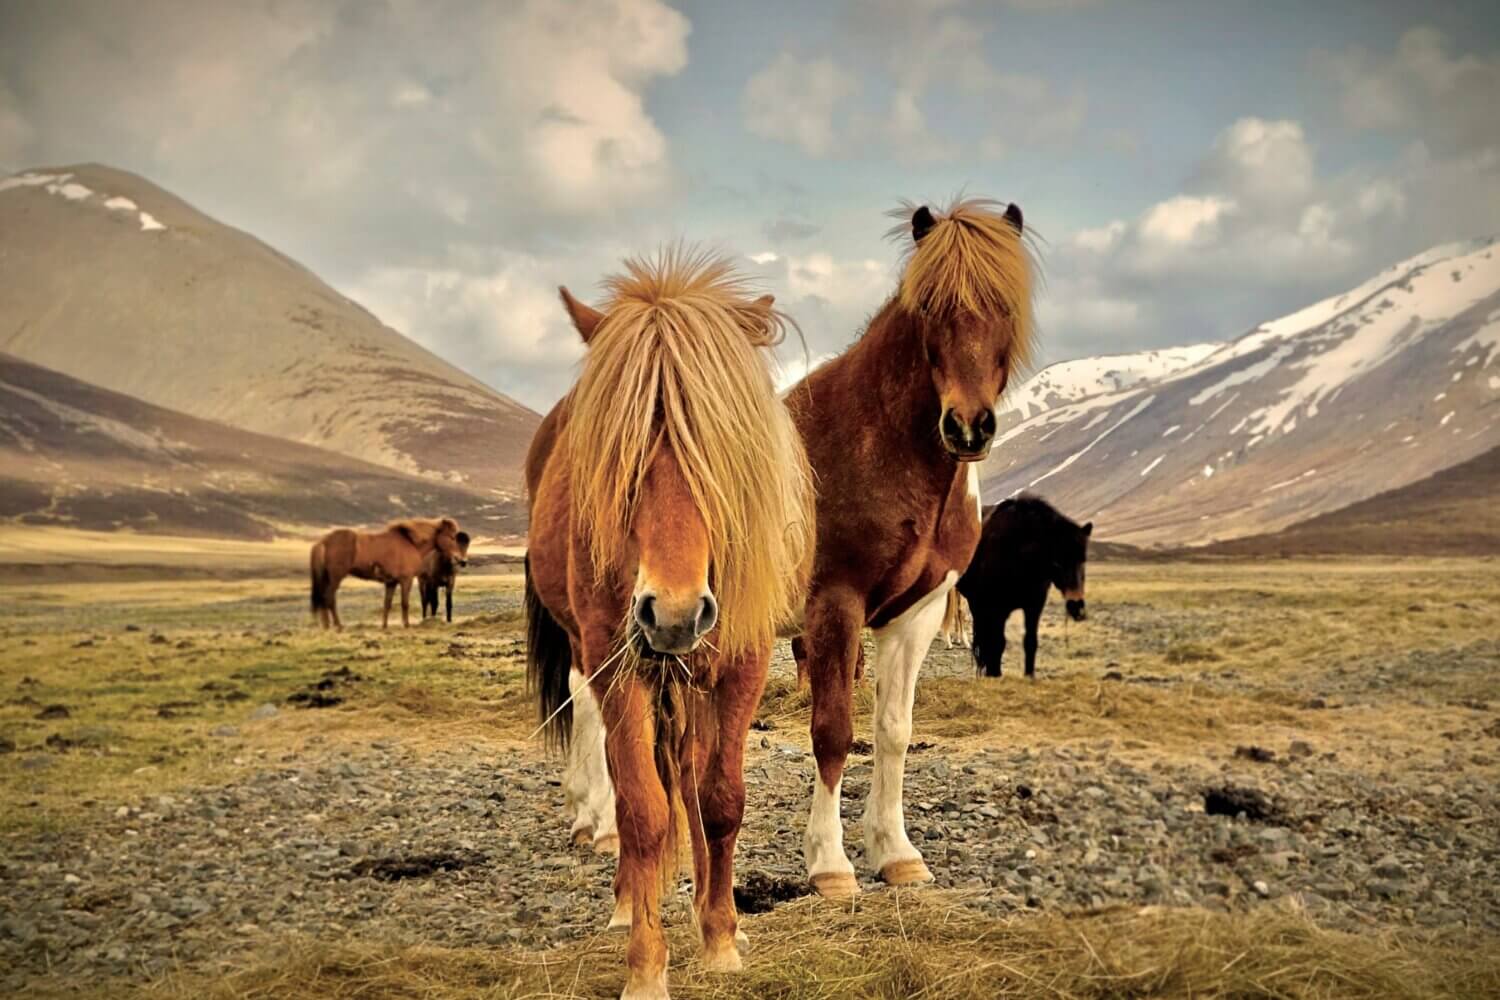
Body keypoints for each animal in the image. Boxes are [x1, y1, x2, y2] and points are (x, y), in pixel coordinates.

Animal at [306, 521, 465, 629]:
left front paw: (384, 626)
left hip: (327, 578)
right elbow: (404, 603)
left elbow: (387, 604)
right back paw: (337, 626)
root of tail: (323, 541)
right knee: (329, 598)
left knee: (324, 599)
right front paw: (406, 624)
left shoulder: (391, 583)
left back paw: (327, 626)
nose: (461, 560)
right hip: (335, 578)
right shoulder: (406, 580)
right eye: (451, 537)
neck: (411, 544)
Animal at [525, 250, 816, 1000]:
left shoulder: (742, 660)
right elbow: (644, 809)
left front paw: (721, 936)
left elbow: (720, 800)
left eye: (723, 452)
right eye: (619, 458)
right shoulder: (616, 665)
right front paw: (646, 965)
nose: (675, 612)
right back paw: (632, 900)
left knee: (689, 774)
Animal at [780, 197, 1038, 899]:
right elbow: (833, 732)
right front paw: (830, 864)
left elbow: (893, 731)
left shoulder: (915, 614)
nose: (968, 427)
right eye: (929, 309)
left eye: (1008, 306)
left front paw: (894, 852)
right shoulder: (834, 606)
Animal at [960, 494, 1092, 680]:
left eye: (1083, 560)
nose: (1077, 607)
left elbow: (1030, 641)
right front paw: (995, 674)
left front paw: (1030, 675)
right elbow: (997, 641)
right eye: (1057, 563)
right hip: (977, 603)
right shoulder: (996, 607)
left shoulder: (1034, 605)